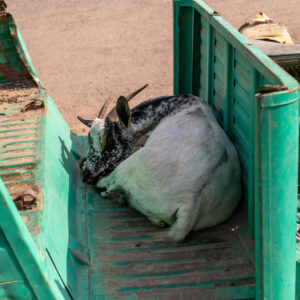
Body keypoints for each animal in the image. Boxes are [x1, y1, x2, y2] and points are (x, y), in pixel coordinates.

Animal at [78, 84, 241, 241]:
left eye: (110, 142)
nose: (86, 175)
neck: (178, 105)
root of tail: (190, 205)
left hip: (128, 165)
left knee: (109, 191)